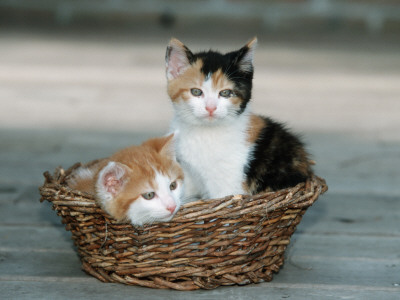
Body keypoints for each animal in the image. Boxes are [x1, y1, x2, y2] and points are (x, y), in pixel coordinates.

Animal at [165, 38, 312, 202]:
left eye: (225, 93)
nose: (210, 108)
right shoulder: (188, 171)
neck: (204, 132)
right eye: (196, 91)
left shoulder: (228, 185)